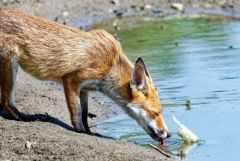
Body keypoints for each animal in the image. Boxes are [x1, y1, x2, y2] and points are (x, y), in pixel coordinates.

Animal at [0, 8, 170, 142]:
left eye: (161, 112)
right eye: (155, 113)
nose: (168, 135)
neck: (112, 63)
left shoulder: (84, 89)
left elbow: (84, 114)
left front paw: (89, 132)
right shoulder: (71, 80)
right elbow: (76, 112)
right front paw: (80, 131)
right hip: (11, 66)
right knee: (6, 101)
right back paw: (23, 118)